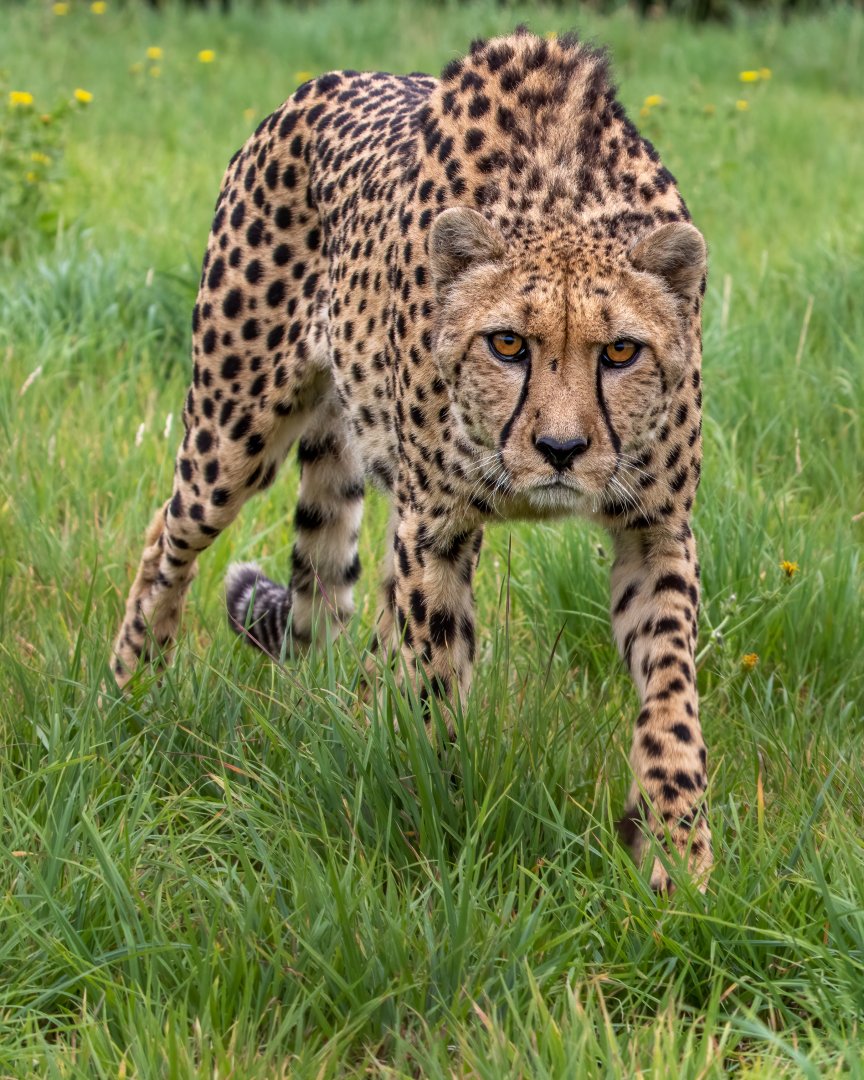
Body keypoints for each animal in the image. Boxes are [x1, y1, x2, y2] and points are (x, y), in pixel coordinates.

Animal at [112, 28, 712, 890]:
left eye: (622, 352)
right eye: (507, 343)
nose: (561, 451)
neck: (561, 195)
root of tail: (327, 80)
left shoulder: (656, 530)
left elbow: (670, 698)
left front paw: (677, 858)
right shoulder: (436, 527)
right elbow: (435, 681)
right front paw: (438, 823)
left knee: (347, 616)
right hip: (232, 435)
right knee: (168, 530)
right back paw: (133, 687)